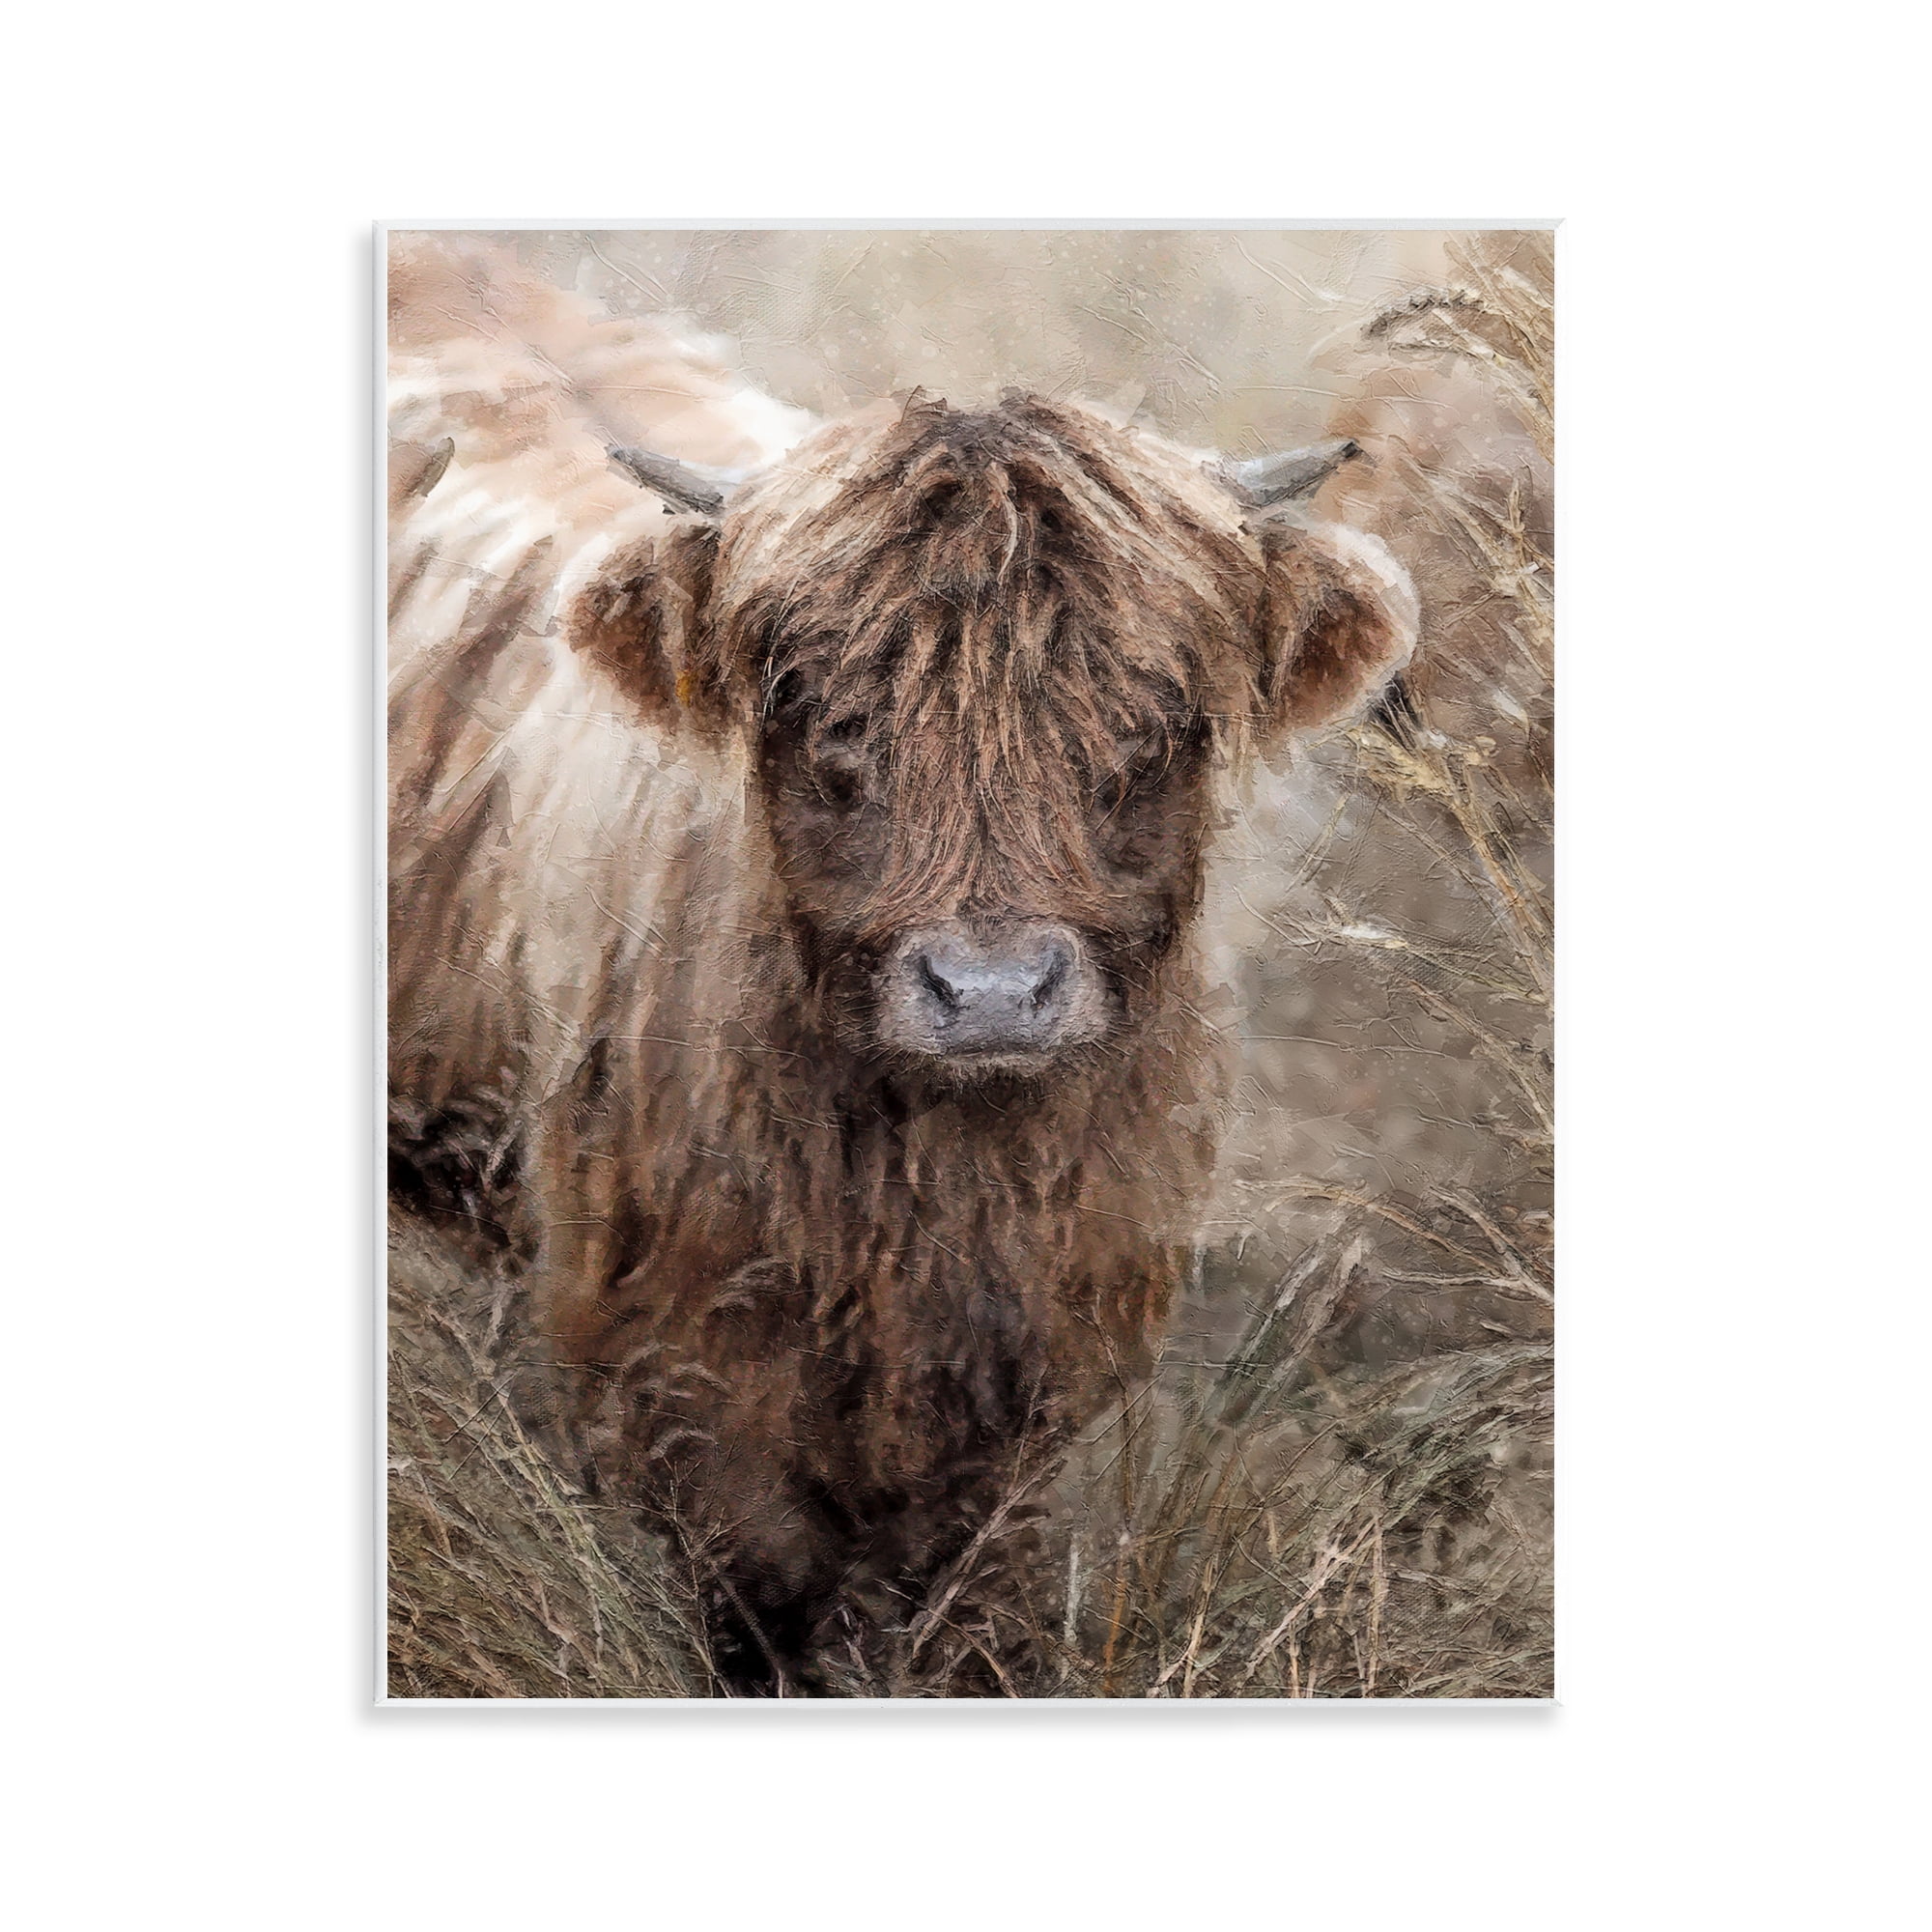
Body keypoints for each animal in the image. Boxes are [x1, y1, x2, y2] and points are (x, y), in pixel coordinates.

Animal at [387, 242, 1418, 1688]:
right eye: (828, 721)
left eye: (1151, 723)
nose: (989, 992)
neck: (934, 1183)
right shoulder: (669, 1362)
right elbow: (752, 1597)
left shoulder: (1036, 1375)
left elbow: (966, 1597)